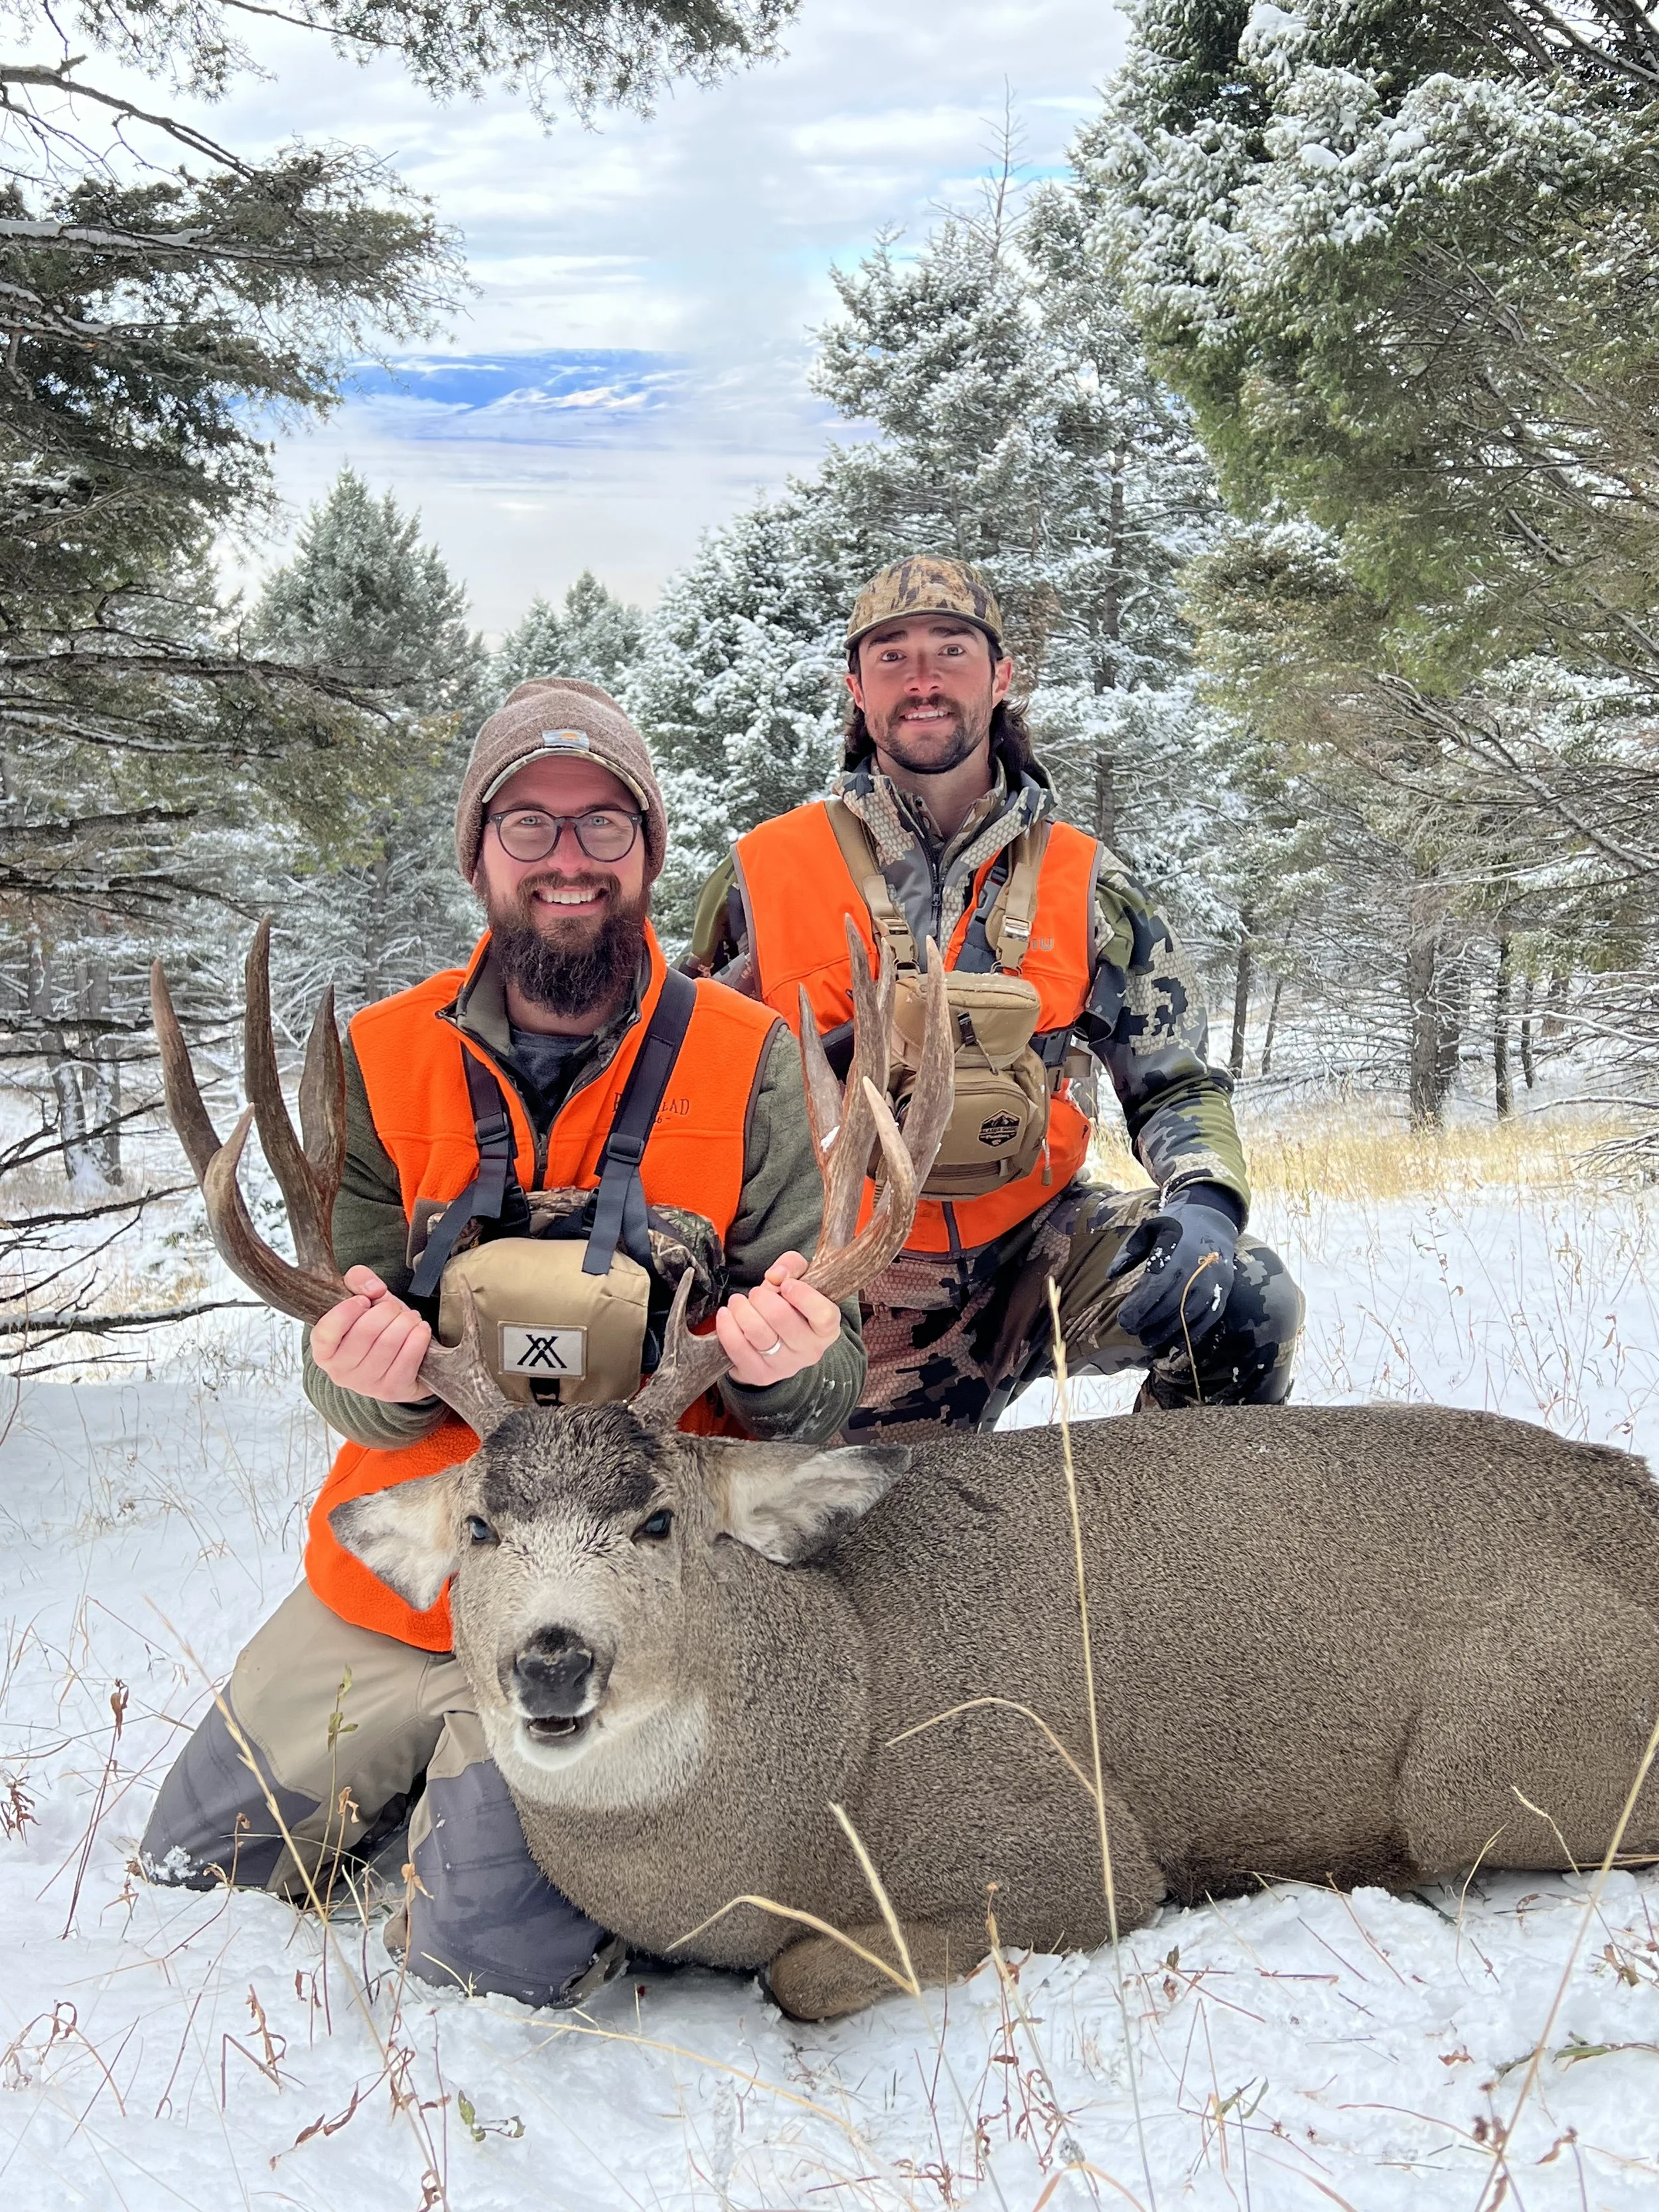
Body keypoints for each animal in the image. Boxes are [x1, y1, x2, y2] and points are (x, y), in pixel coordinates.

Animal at [150, 924, 1659, 2021]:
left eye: (661, 1520)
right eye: (475, 1528)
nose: (553, 1659)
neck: (811, 1762)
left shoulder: (1068, 1841)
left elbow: (805, 1973)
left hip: (1484, 1761)